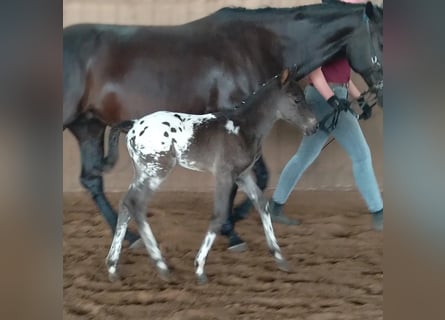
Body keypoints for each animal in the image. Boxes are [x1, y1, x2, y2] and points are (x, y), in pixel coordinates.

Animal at [61, 1, 382, 249]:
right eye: (381, 41)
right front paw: (232, 228)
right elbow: (253, 176)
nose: (381, 91)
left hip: (88, 126)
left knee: (91, 180)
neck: (257, 46)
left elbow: (254, 178)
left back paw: (128, 237)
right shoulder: (239, 123)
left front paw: (232, 223)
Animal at [102, 67, 318, 282]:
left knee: (126, 204)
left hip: (143, 172)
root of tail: (134, 125)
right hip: (157, 171)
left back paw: (113, 267)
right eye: (296, 99)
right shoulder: (225, 174)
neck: (242, 127)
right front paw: (199, 268)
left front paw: (280, 258)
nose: (314, 126)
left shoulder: (243, 175)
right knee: (136, 204)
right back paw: (161, 266)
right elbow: (219, 214)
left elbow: (262, 204)